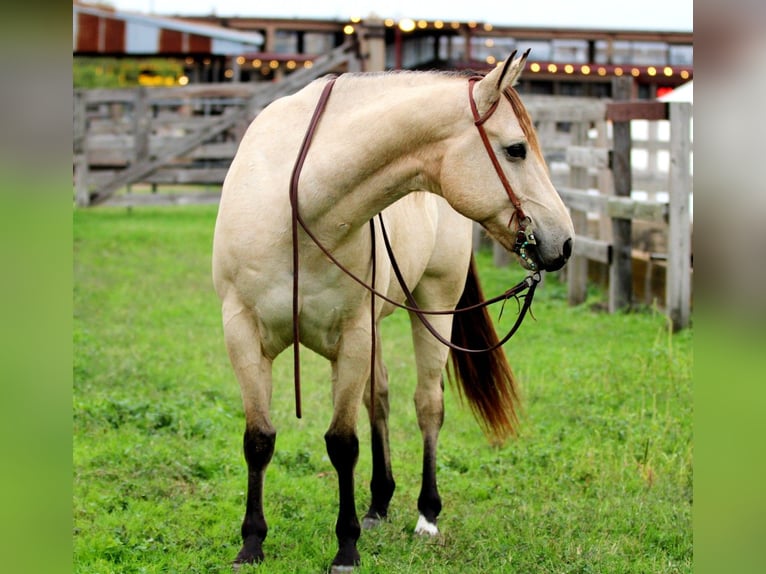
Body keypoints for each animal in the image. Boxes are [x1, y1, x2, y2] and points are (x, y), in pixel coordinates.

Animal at [213, 51, 572, 572]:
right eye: (516, 150)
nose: (563, 242)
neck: (295, 207)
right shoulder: (241, 332)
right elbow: (259, 438)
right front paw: (252, 543)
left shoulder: (353, 336)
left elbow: (342, 443)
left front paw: (346, 547)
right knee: (378, 398)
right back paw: (379, 503)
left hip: (435, 304)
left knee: (428, 406)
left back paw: (426, 515)